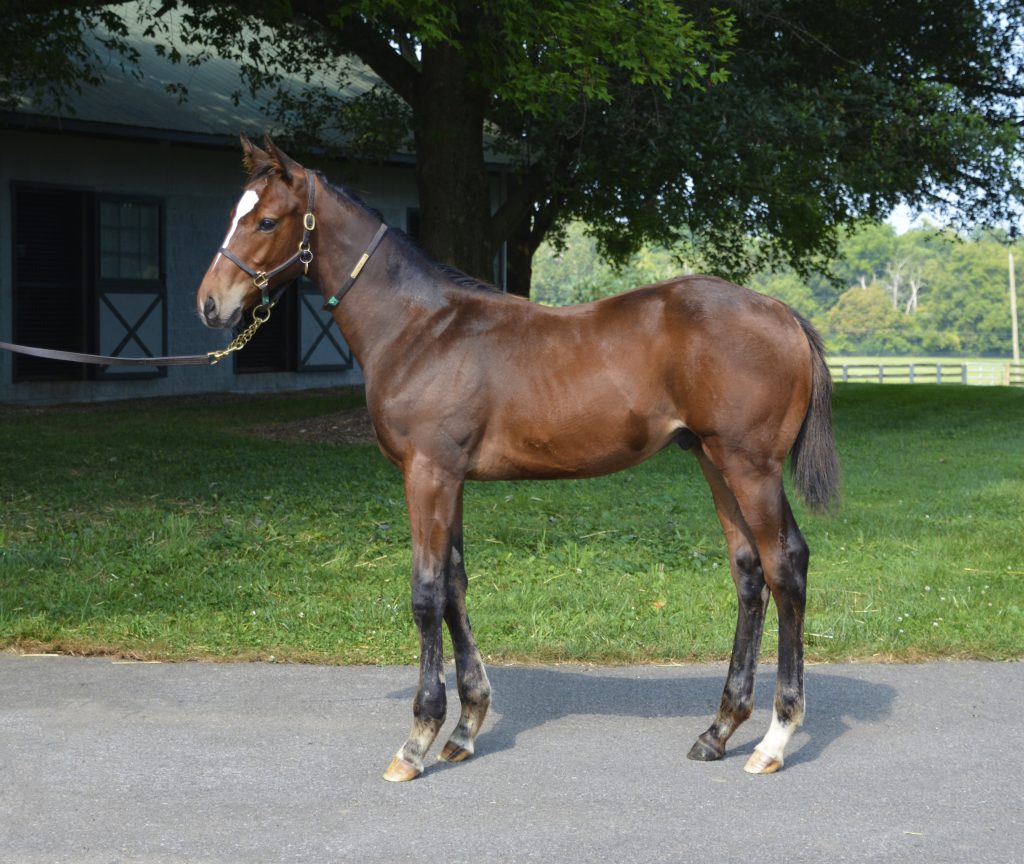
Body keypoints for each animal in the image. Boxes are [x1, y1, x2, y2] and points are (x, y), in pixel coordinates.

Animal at [196, 136, 840, 782]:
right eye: (232, 212)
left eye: (266, 220)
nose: (209, 304)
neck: (421, 330)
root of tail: (783, 313)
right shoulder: (450, 478)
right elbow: (455, 584)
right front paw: (464, 728)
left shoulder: (427, 473)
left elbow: (426, 592)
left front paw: (417, 739)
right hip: (712, 460)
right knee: (749, 572)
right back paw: (719, 729)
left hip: (750, 467)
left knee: (786, 565)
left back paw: (774, 738)